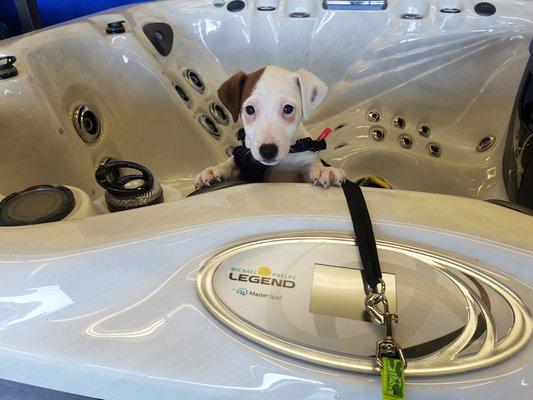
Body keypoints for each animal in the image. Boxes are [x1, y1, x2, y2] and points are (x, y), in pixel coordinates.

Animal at [194, 65, 344, 189]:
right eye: (249, 109)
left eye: (288, 109)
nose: (267, 151)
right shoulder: (243, 161)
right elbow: (230, 163)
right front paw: (214, 170)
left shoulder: (305, 161)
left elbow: (313, 165)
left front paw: (324, 170)